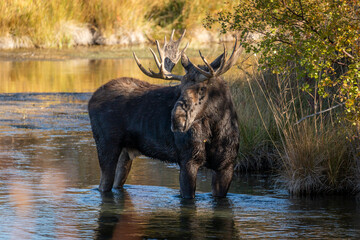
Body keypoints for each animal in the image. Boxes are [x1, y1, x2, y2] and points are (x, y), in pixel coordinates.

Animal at [89, 30, 242, 199]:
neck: (215, 128)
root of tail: (91, 98)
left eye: (202, 88)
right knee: (103, 185)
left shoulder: (227, 164)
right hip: (106, 144)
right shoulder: (187, 160)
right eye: (180, 88)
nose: (177, 119)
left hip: (126, 152)